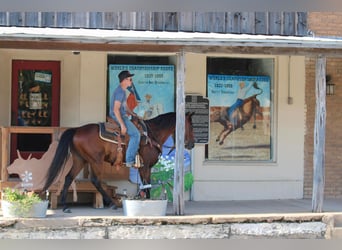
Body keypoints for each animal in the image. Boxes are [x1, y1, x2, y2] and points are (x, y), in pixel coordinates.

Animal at [42, 112, 195, 212]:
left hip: (80, 160)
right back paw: (112, 203)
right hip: (95, 161)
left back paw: (65, 206)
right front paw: (147, 202)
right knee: (95, 180)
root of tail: (77, 130)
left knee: (69, 177)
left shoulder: (143, 167)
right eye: (192, 125)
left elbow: (145, 185)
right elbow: (147, 185)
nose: (192, 144)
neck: (151, 135)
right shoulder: (146, 166)